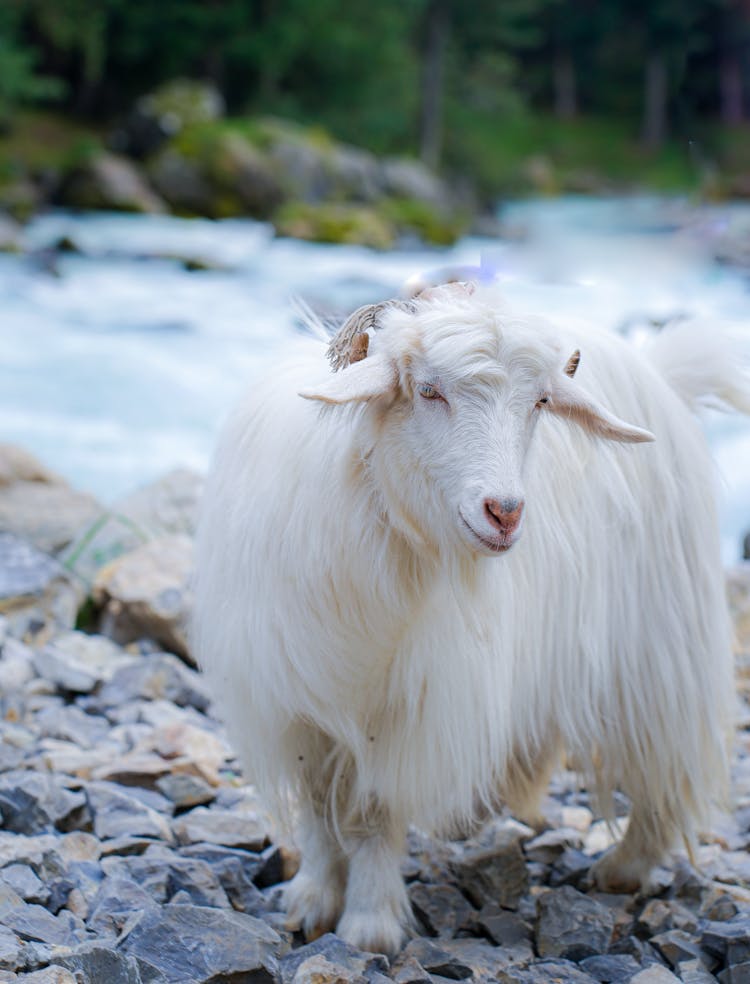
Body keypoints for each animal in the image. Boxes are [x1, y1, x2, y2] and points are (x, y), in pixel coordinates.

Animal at [192, 286, 748, 960]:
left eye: (540, 402)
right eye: (428, 391)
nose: (504, 513)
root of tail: (664, 373)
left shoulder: (408, 708)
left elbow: (373, 814)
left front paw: (369, 924)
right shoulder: (291, 705)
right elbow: (320, 808)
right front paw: (312, 900)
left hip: (659, 649)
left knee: (662, 764)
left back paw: (626, 866)